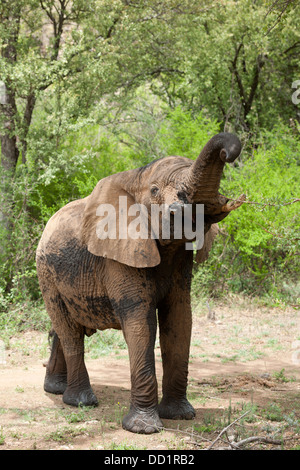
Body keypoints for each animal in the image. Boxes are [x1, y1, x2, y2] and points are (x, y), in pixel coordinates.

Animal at [36, 131, 245, 434]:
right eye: (155, 190)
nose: (227, 152)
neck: (136, 175)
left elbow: (180, 320)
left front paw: (180, 416)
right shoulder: (118, 256)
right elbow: (141, 321)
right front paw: (144, 428)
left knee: (62, 329)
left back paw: (56, 390)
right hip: (46, 274)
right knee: (69, 330)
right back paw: (81, 402)